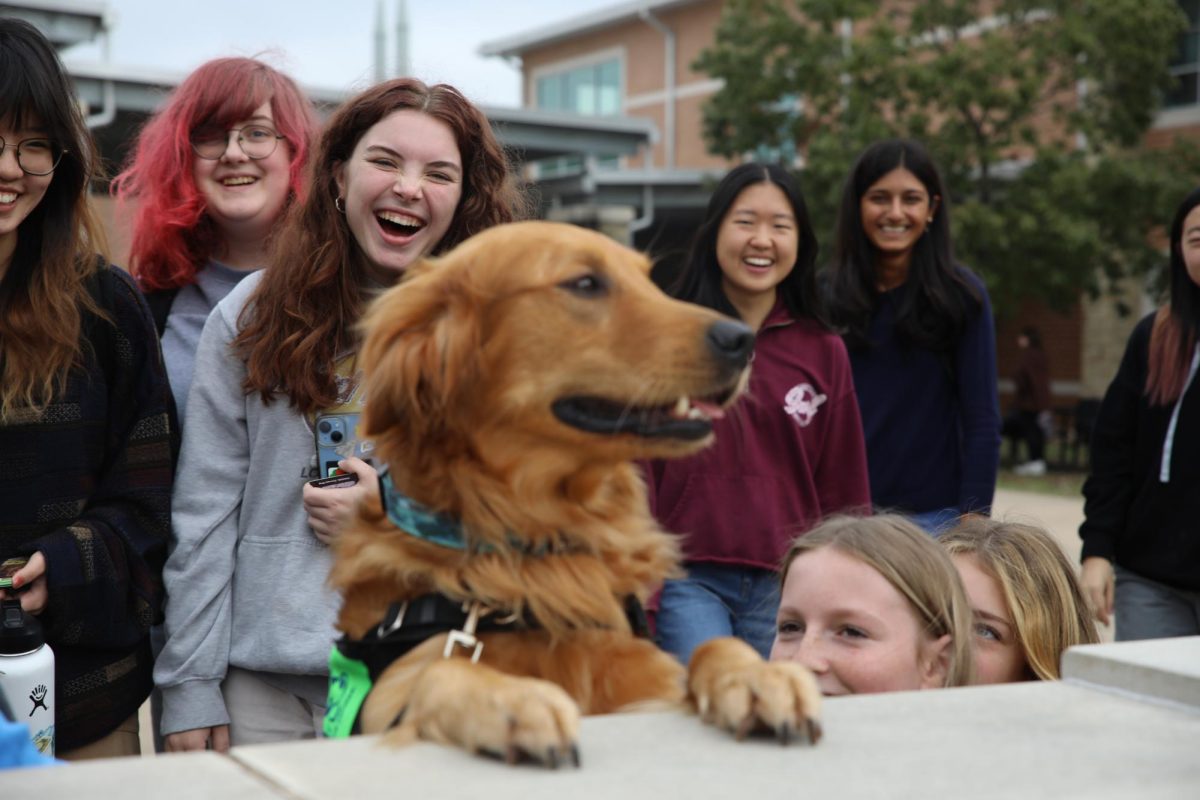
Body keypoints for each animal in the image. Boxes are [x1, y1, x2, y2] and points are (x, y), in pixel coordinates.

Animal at [328, 221, 820, 767]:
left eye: (650, 280)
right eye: (585, 283)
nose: (743, 339)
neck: (540, 545)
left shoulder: (648, 682)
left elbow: (706, 649)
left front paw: (758, 675)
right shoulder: (383, 698)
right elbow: (443, 669)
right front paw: (514, 699)